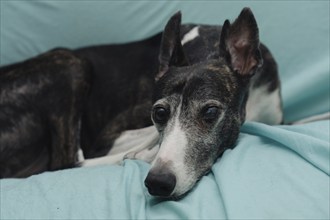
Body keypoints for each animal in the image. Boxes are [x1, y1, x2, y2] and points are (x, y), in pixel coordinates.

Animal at [0, 7, 284, 199]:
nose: (158, 182)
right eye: (159, 113)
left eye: (211, 112)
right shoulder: (108, 139)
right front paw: (144, 153)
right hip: (70, 63)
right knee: (66, 161)